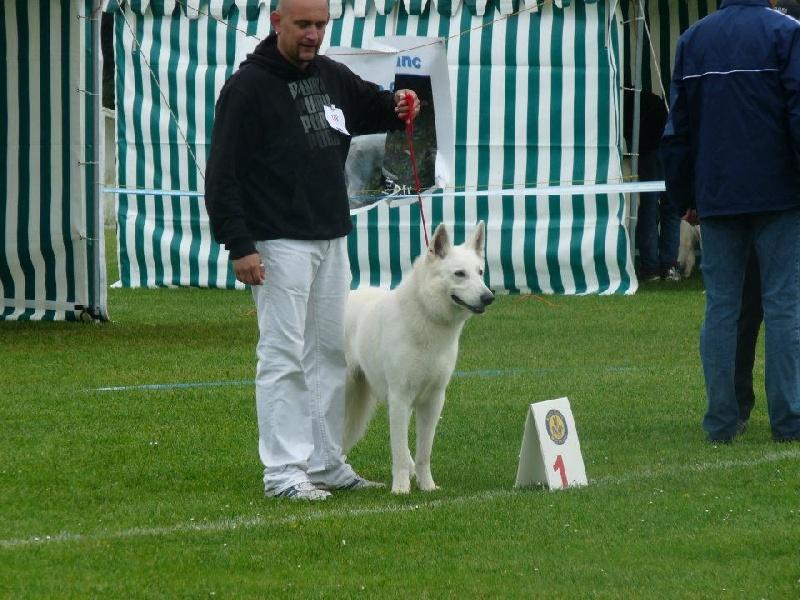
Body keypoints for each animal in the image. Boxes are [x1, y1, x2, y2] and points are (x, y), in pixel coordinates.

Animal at [344, 220, 494, 492]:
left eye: (480, 272)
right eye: (459, 274)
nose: (489, 297)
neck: (426, 316)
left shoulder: (433, 401)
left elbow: (424, 452)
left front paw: (427, 486)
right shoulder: (400, 398)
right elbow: (399, 452)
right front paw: (401, 489)